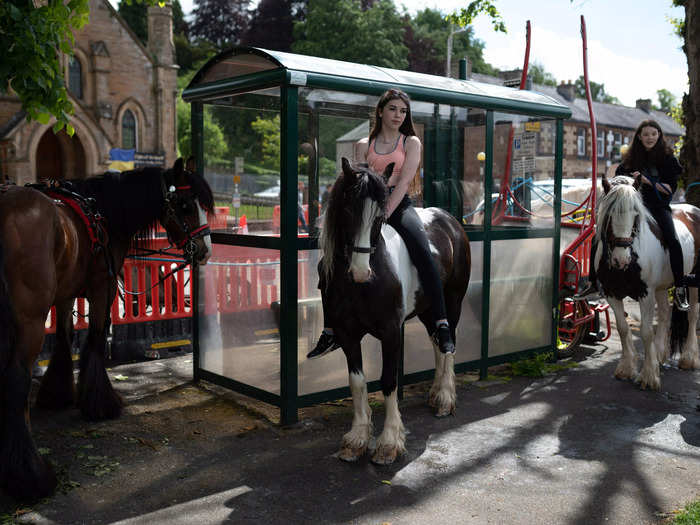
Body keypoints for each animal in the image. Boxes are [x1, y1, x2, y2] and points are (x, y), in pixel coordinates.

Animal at [0, 159, 212, 500]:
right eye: (184, 204)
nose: (205, 250)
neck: (102, 211)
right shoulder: (103, 288)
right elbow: (96, 339)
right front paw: (101, 402)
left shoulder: (65, 294)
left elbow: (65, 338)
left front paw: (59, 393)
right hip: (30, 320)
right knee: (16, 379)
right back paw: (29, 473)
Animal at [322, 159, 470, 462]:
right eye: (347, 210)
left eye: (380, 216)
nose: (360, 272)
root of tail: (450, 220)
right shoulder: (347, 334)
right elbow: (357, 382)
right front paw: (357, 439)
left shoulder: (391, 332)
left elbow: (388, 380)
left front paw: (389, 442)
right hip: (427, 310)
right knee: (437, 342)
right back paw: (435, 394)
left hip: (453, 301)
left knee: (448, 342)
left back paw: (445, 398)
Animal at [596, 176, 700, 388]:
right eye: (609, 214)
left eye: (636, 214)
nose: (621, 259)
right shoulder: (612, 294)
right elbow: (623, 328)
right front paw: (626, 368)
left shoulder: (646, 294)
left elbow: (645, 331)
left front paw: (649, 376)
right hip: (661, 287)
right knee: (665, 313)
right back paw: (660, 355)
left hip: (692, 281)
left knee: (693, 314)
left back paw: (688, 359)